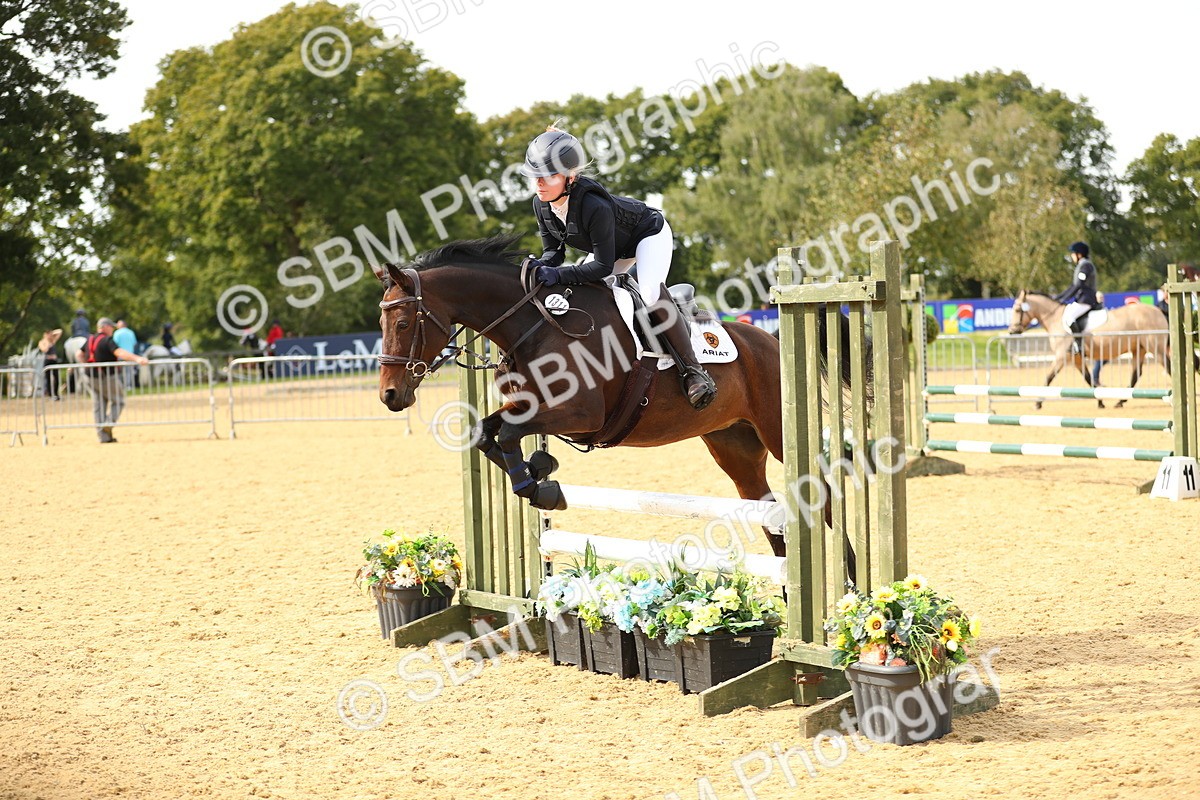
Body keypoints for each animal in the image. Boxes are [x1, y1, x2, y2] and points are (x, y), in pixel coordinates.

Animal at [373, 234, 864, 559]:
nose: (390, 396)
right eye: (381, 323)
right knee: (767, 509)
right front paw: (541, 473)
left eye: (403, 323)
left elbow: (509, 431)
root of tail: (772, 339)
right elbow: (486, 431)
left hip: (778, 432)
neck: (535, 325)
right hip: (734, 444)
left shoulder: (581, 413)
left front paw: (540, 486)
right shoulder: (530, 406)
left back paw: (848, 578)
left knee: (818, 495)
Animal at [1007, 290, 1170, 409]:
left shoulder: (1061, 357)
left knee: (1168, 367)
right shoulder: (1077, 359)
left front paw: (1038, 403)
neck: (1055, 319)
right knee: (1136, 374)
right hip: (1139, 349)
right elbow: (1089, 380)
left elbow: (1048, 378)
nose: (1012, 331)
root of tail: (1158, 310)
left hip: (1155, 347)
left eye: (1017, 309)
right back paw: (1120, 401)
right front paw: (1100, 402)